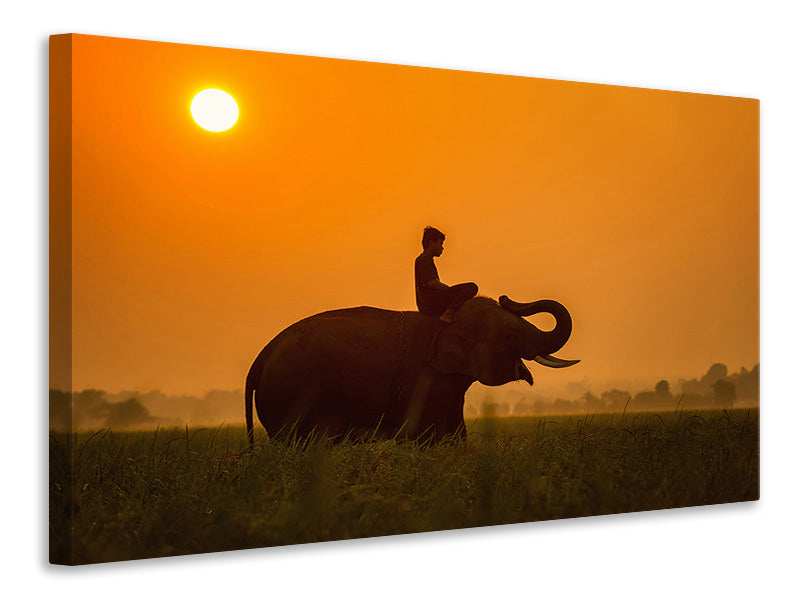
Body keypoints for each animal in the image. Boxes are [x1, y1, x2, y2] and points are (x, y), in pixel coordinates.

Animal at [245, 295, 579, 444]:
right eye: (509, 336)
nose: (506, 297)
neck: (447, 320)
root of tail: (260, 359)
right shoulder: (425, 378)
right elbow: (428, 436)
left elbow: (455, 434)